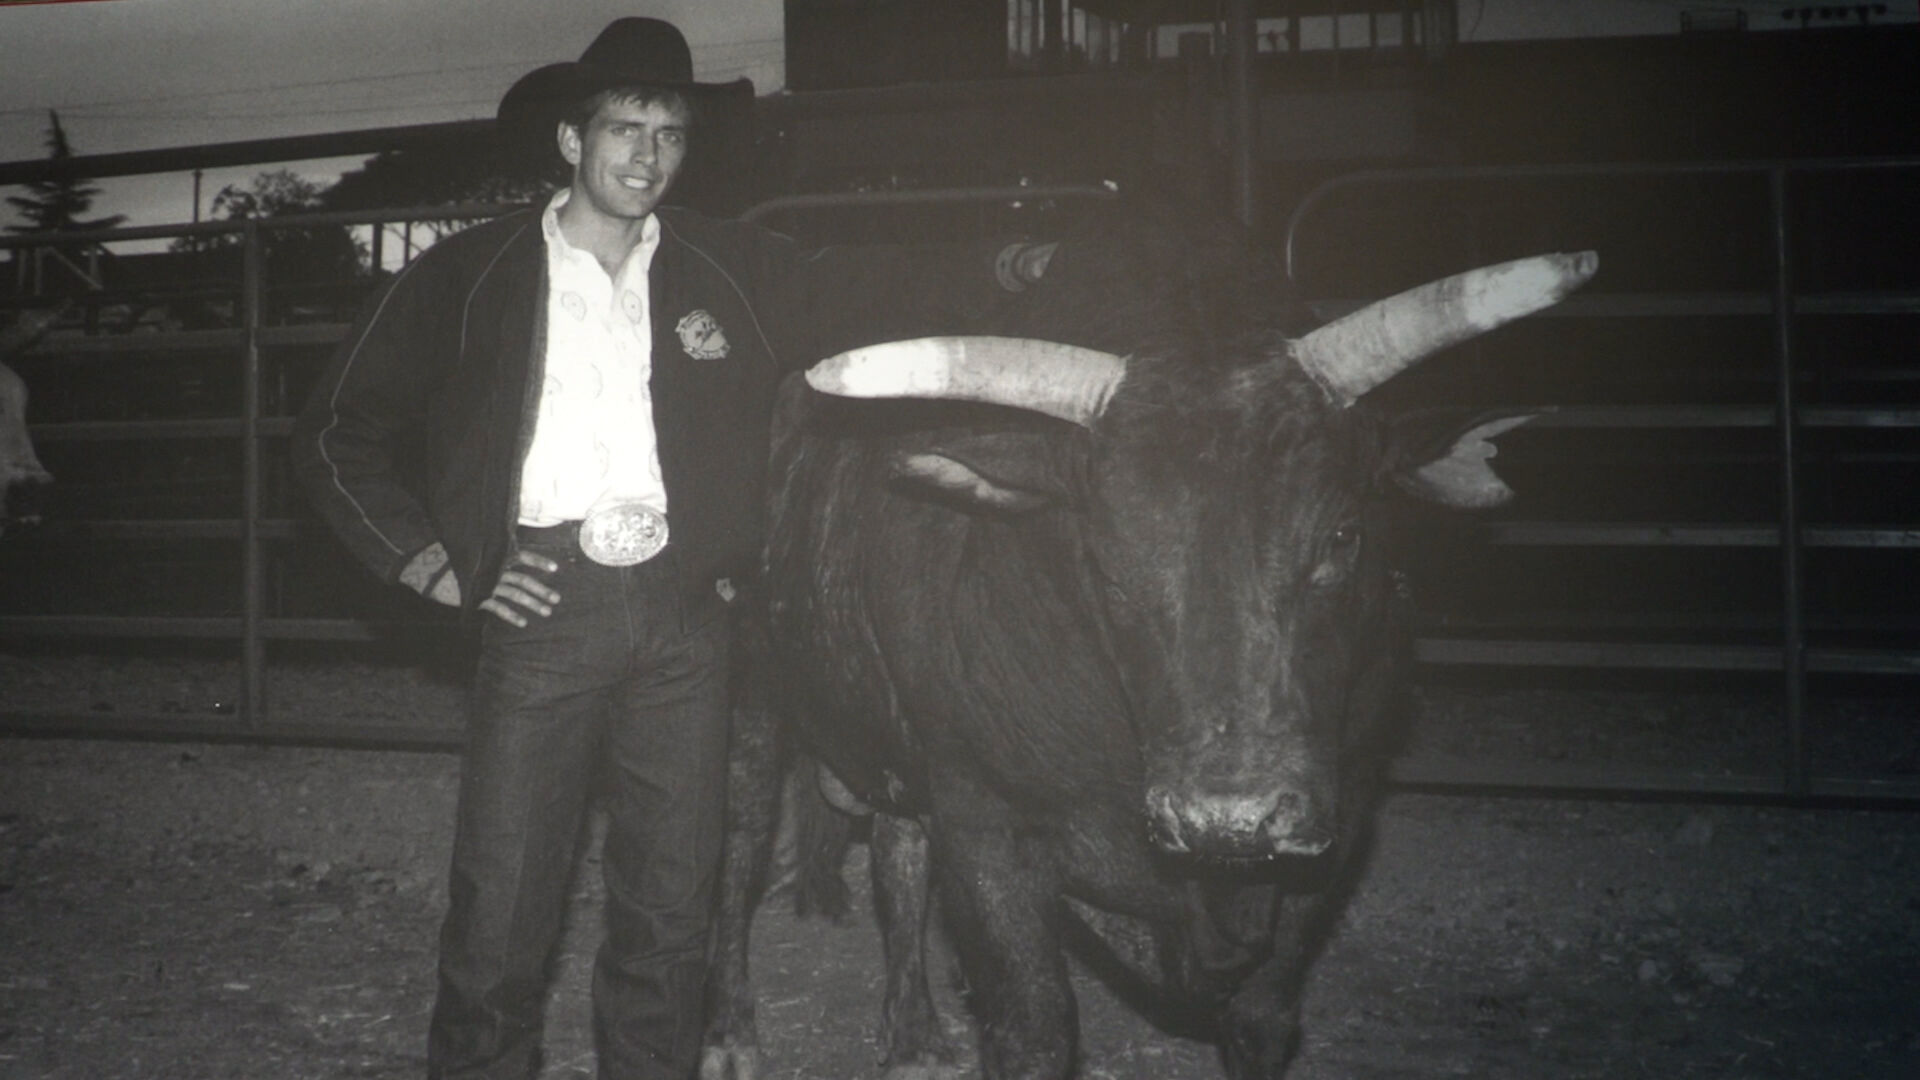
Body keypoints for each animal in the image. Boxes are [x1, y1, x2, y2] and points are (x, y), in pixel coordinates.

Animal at [698, 228, 1597, 1076]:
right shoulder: (984, 826)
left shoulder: (1338, 821)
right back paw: (729, 1033)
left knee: (896, 852)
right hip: (750, 694)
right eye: (1104, 561)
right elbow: (1033, 1028)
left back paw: (915, 1034)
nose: (1229, 817)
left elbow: (1262, 1017)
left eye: (1343, 535)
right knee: (739, 848)